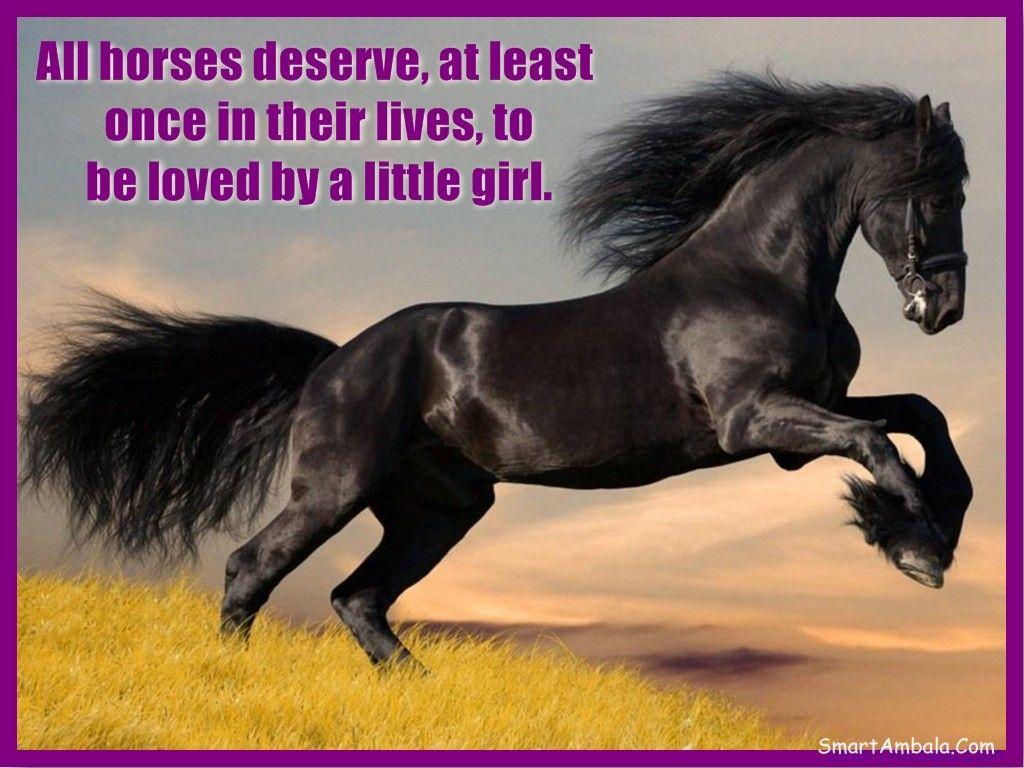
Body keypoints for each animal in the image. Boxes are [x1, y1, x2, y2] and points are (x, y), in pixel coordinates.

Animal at [20, 73, 973, 668]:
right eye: (935, 190)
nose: (946, 309)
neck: (760, 272)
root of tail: (333, 361)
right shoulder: (756, 422)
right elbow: (877, 443)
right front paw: (915, 547)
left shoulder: (803, 417)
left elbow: (920, 415)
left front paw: (929, 528)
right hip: (336, 487)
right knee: (253, 568)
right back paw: (237, 678)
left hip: (440, 508)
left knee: (358, 598)